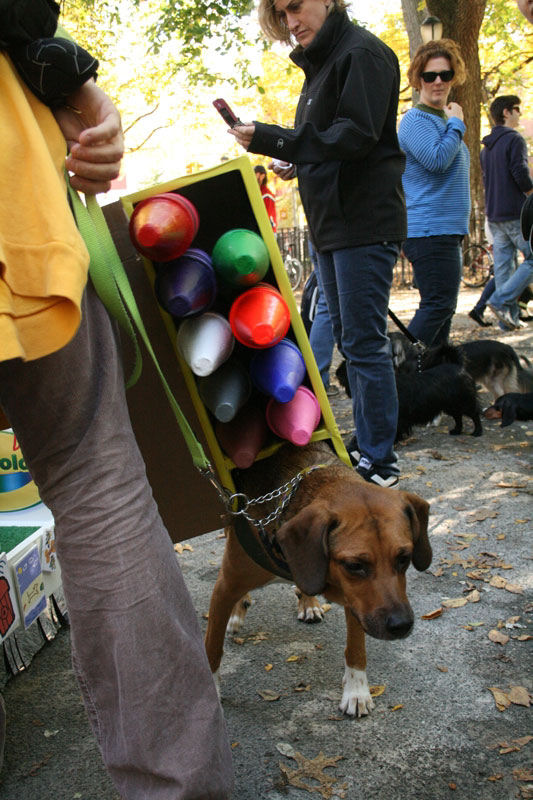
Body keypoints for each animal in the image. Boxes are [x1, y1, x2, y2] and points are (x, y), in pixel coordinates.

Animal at [202, 440, 430, 716]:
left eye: (404, 558)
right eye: (355, 565)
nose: (401, 625)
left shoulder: (356, 602)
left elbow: (356, 647)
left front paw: (356, 690)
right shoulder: (224, 588)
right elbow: (212, 648)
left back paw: (308, 602)